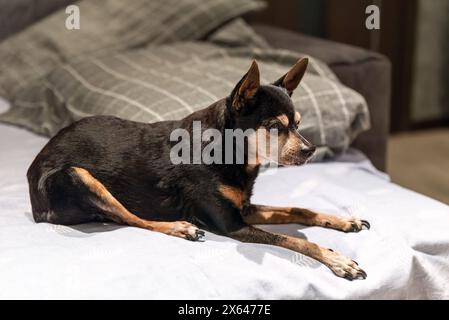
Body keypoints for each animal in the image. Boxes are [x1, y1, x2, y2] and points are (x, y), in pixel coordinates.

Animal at [27, 58, 368, 280]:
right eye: (274, 127)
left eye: (297, 124)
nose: (311, 150)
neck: (236, 155)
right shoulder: (232, 225)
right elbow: (294, 241)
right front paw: (338, 260)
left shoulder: (243, 209)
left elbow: (299, 209)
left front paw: (343, 220)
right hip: (77, 176)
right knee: (130, 216)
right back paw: (181, 227)